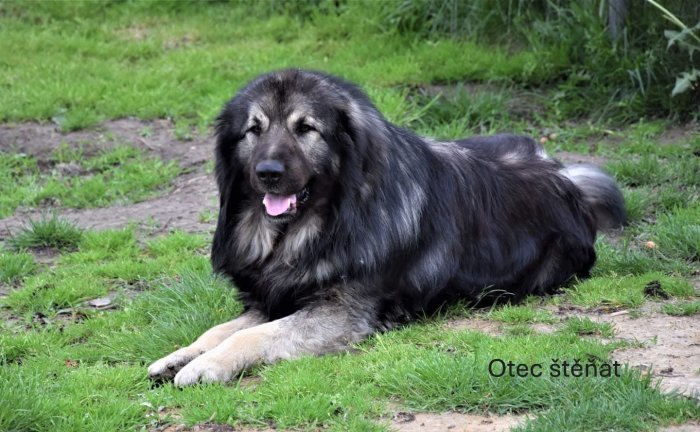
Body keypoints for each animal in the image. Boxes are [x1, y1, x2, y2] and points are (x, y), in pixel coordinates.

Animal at [148, 69, 625, 386]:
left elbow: (253, 336)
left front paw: (204, 366)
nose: (267, 173)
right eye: (254, 130)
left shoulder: (338, 314)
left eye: (306, 129)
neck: (322, 226)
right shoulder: (273, 297)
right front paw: (179, 356)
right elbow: (220, 330)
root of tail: (567, 179)